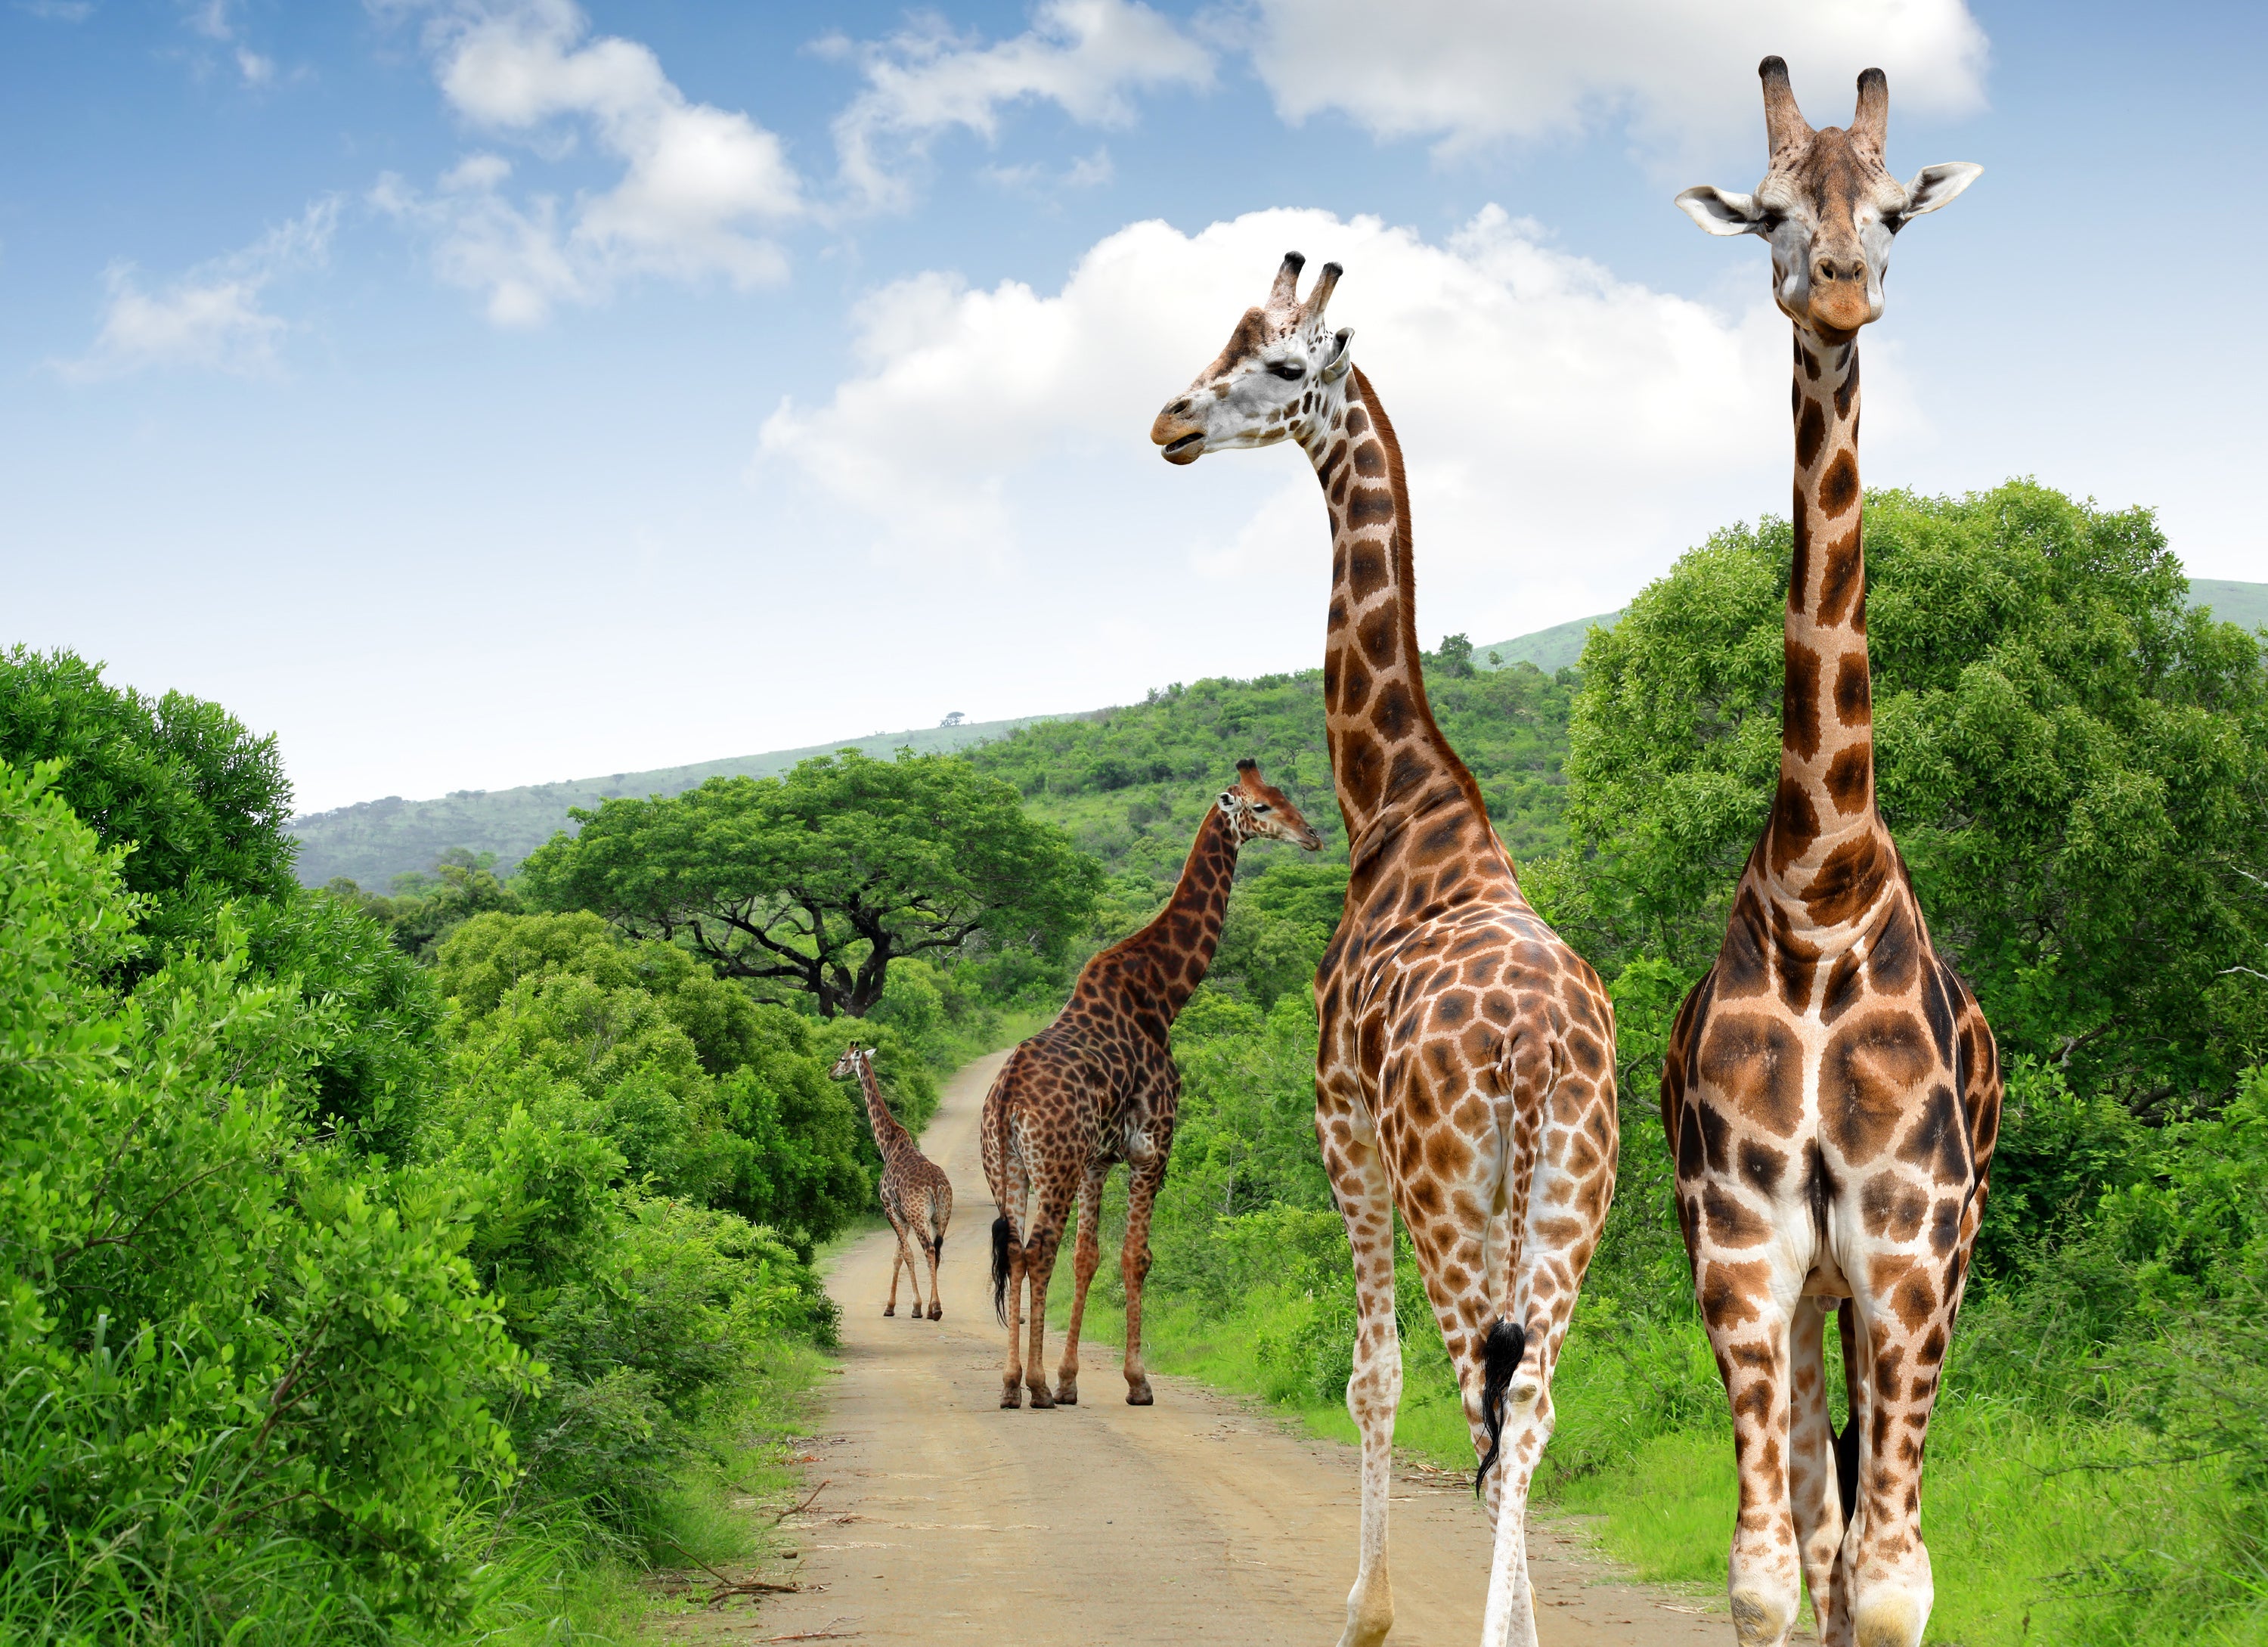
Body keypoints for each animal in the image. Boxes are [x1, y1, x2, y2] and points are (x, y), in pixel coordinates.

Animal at [830, 1043, 953, 1321]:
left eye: (843, 1059)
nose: (830, 1072)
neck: (886, 1144)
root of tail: (936, 1186)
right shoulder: (903, 1216)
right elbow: (898, 1255)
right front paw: (893, 1306)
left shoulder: (890, 1209)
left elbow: (905, 1254)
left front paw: (914, 1307)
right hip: (940, 1217)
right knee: (938, 1253)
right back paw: (934, 1307)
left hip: (920, 1216)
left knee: (929, 1251)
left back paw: (935, 1309)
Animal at [983, 761, 1321, 1410]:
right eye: (1261, 807)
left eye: (1282, 793)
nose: (1313, 836)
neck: (1163, 995)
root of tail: (1008, 1096)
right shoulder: (1151, 1147)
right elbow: (1135, 1257)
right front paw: (1135, 1381)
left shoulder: (1099, 1159)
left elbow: (1088, 1257)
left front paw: (1070, 1379)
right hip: (1054, 1166)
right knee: (1037, 1252)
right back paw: (1031, 1386)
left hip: (1008, 1167)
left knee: (1015, 1252)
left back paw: (1013, 1383)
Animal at [1151, 254, 1620, 1647]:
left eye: (1274, 365)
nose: (1170, 422)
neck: (1398, 807)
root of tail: (1537, 1055)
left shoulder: (1340, 1122)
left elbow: (1372, 1373)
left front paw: (1366, 1608)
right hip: (1575, 1198)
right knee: (1533, 1404)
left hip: (1447, 1184)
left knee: (1484, 1395)